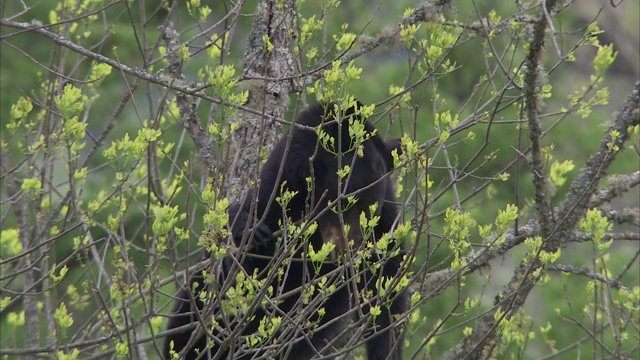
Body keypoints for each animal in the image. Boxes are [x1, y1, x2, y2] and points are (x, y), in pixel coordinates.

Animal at [162, 101, 408, 360]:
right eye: (345, 203)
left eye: (371, 209)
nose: (352, 249)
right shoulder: (278, 190)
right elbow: (244, 272)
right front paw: (250, 230)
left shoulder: (386, 221)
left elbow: (389, 287)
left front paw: (386, 348)